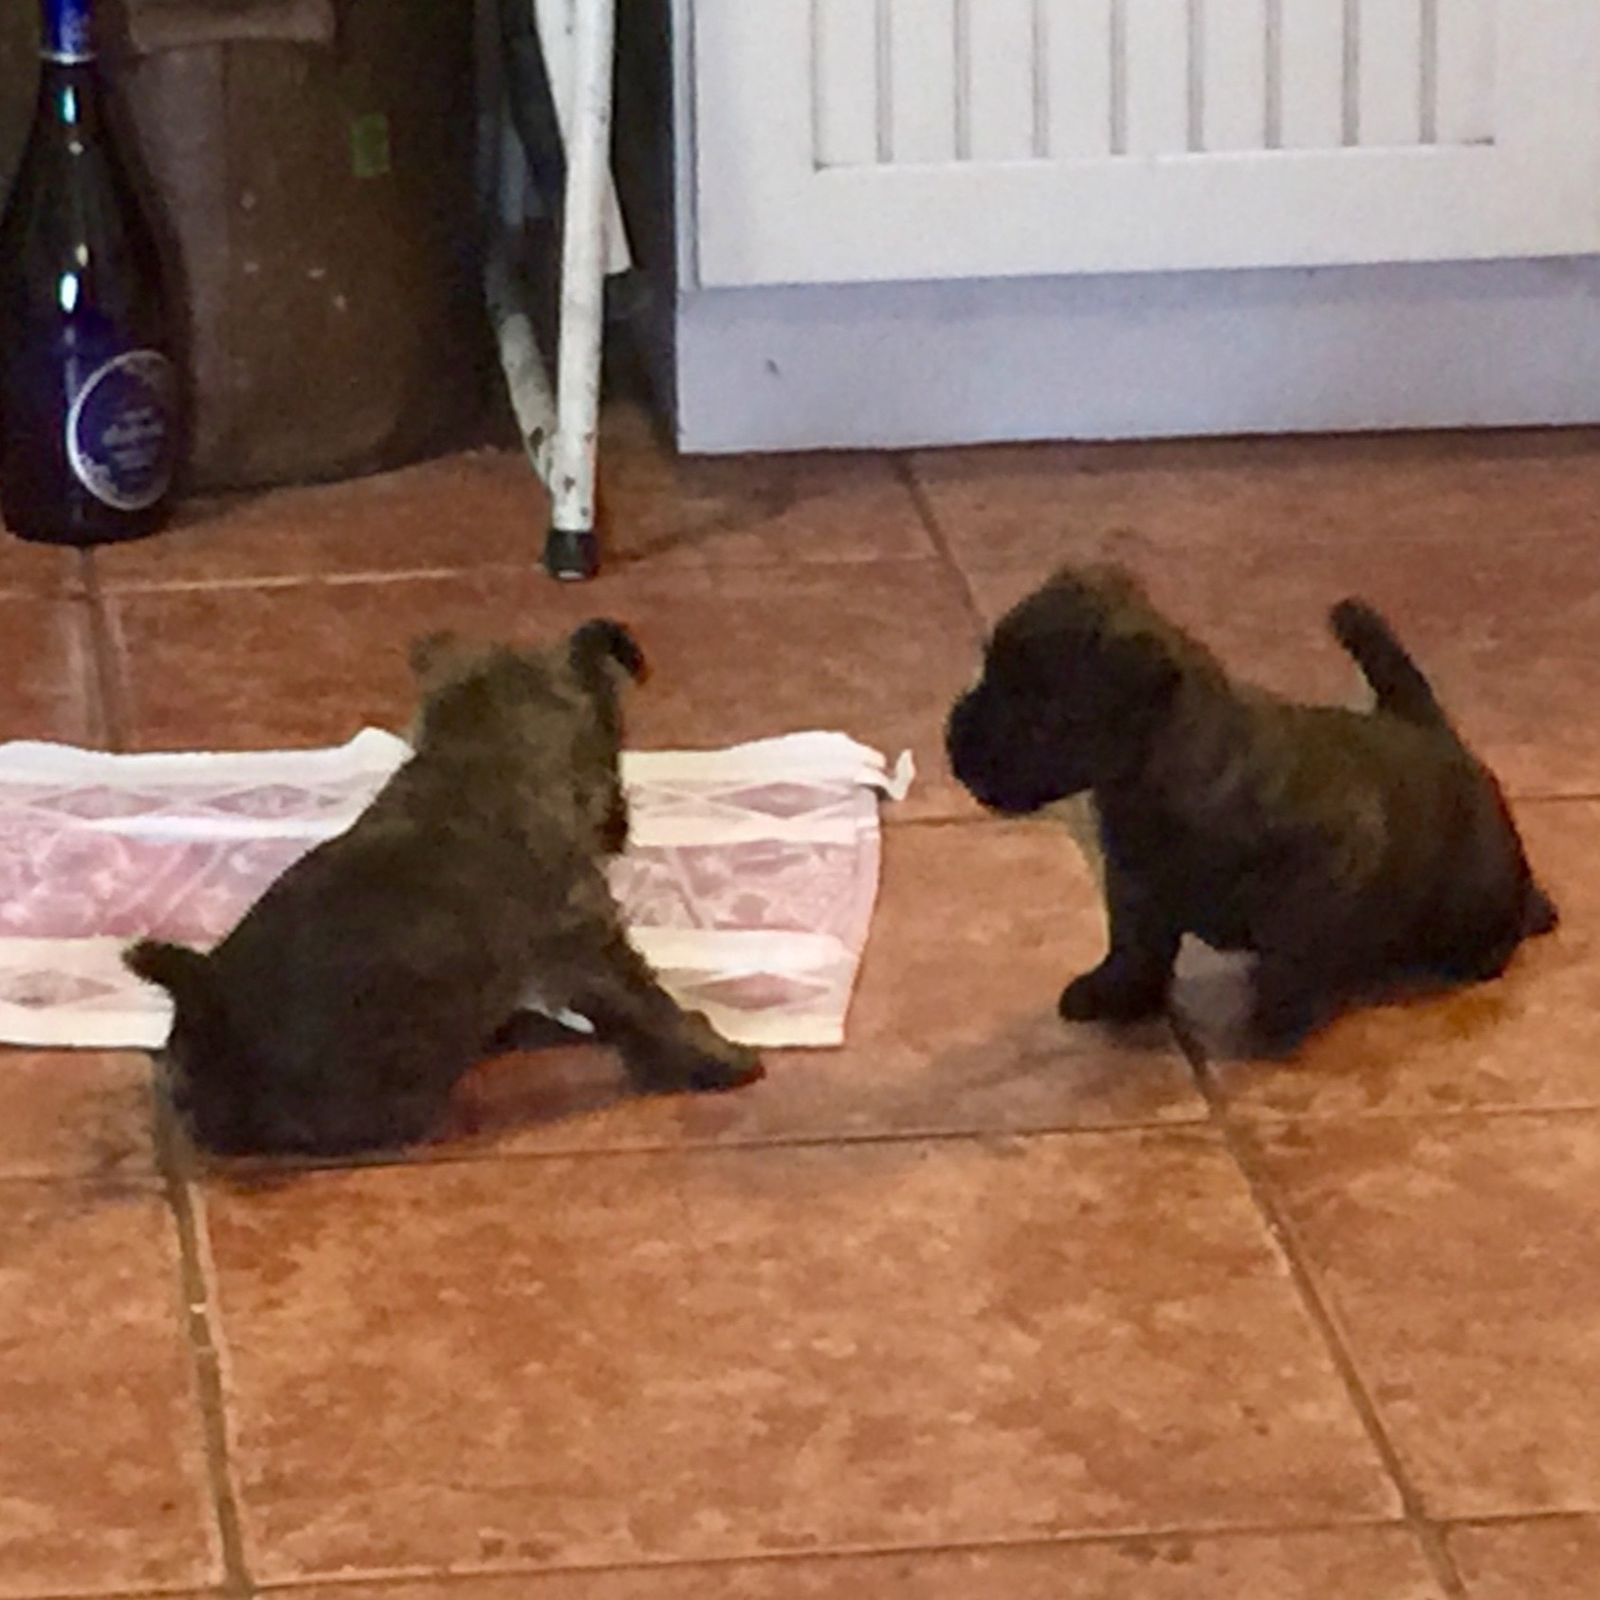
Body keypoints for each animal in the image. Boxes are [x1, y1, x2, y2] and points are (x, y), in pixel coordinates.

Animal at [125, 620, 763, 1156]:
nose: (621, 827)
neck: (476, 763)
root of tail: (204, 996)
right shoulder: (591, 948)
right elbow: (652, 1010)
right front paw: (721, 1059)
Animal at [945, 563, 1557, 1053]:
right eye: (987, 672)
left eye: (1042, 720)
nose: (954, 743)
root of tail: (1431, 727)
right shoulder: (1134, 886)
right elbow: (1133, 946)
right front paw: (1117, 990)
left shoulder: (1317, 882)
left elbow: (1289, 962)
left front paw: (1274, 1022)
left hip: (1477, 894)